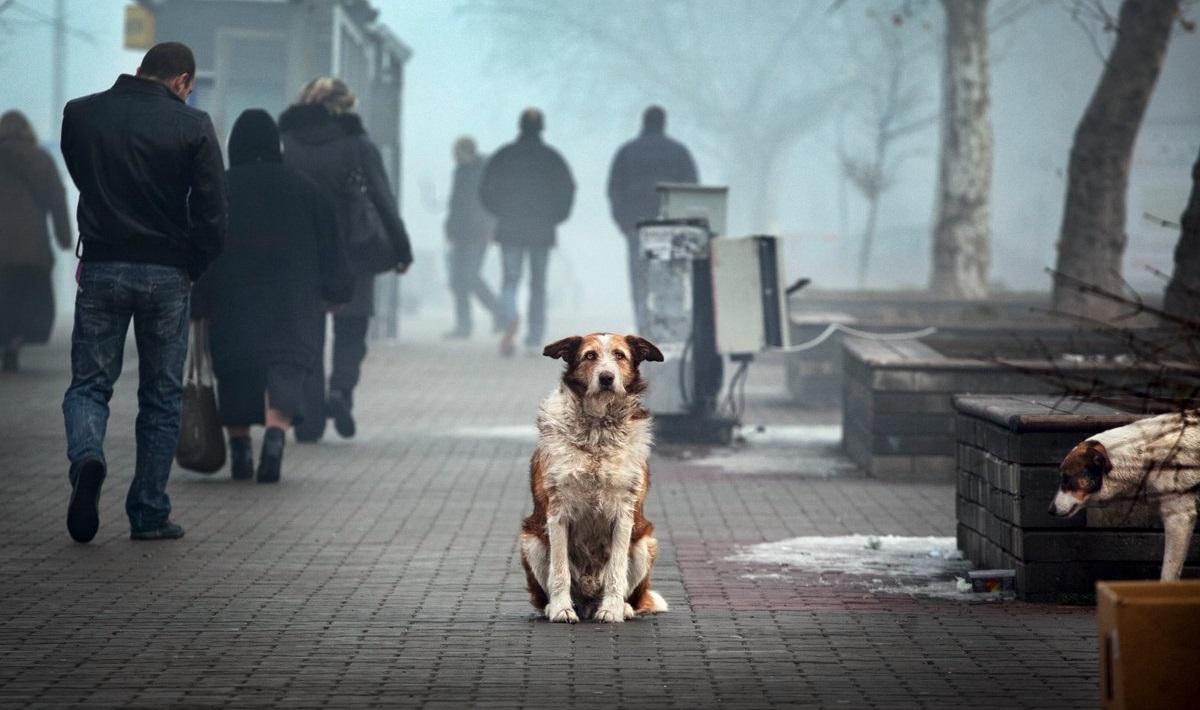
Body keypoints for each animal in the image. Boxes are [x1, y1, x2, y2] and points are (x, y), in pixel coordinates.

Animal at [520, 331, 672, 623]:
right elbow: (560, 570)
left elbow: (616, 569)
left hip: (645, 543)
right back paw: (555, 606)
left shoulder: (624, 513)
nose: (606, 377)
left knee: (630, 591)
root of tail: (588, 602)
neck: (598, 431)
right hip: (530, 541)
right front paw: (561, 609)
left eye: (620, 355)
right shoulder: (557, 512)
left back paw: (622, 607)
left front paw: (611, 610)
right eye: (589, 355)